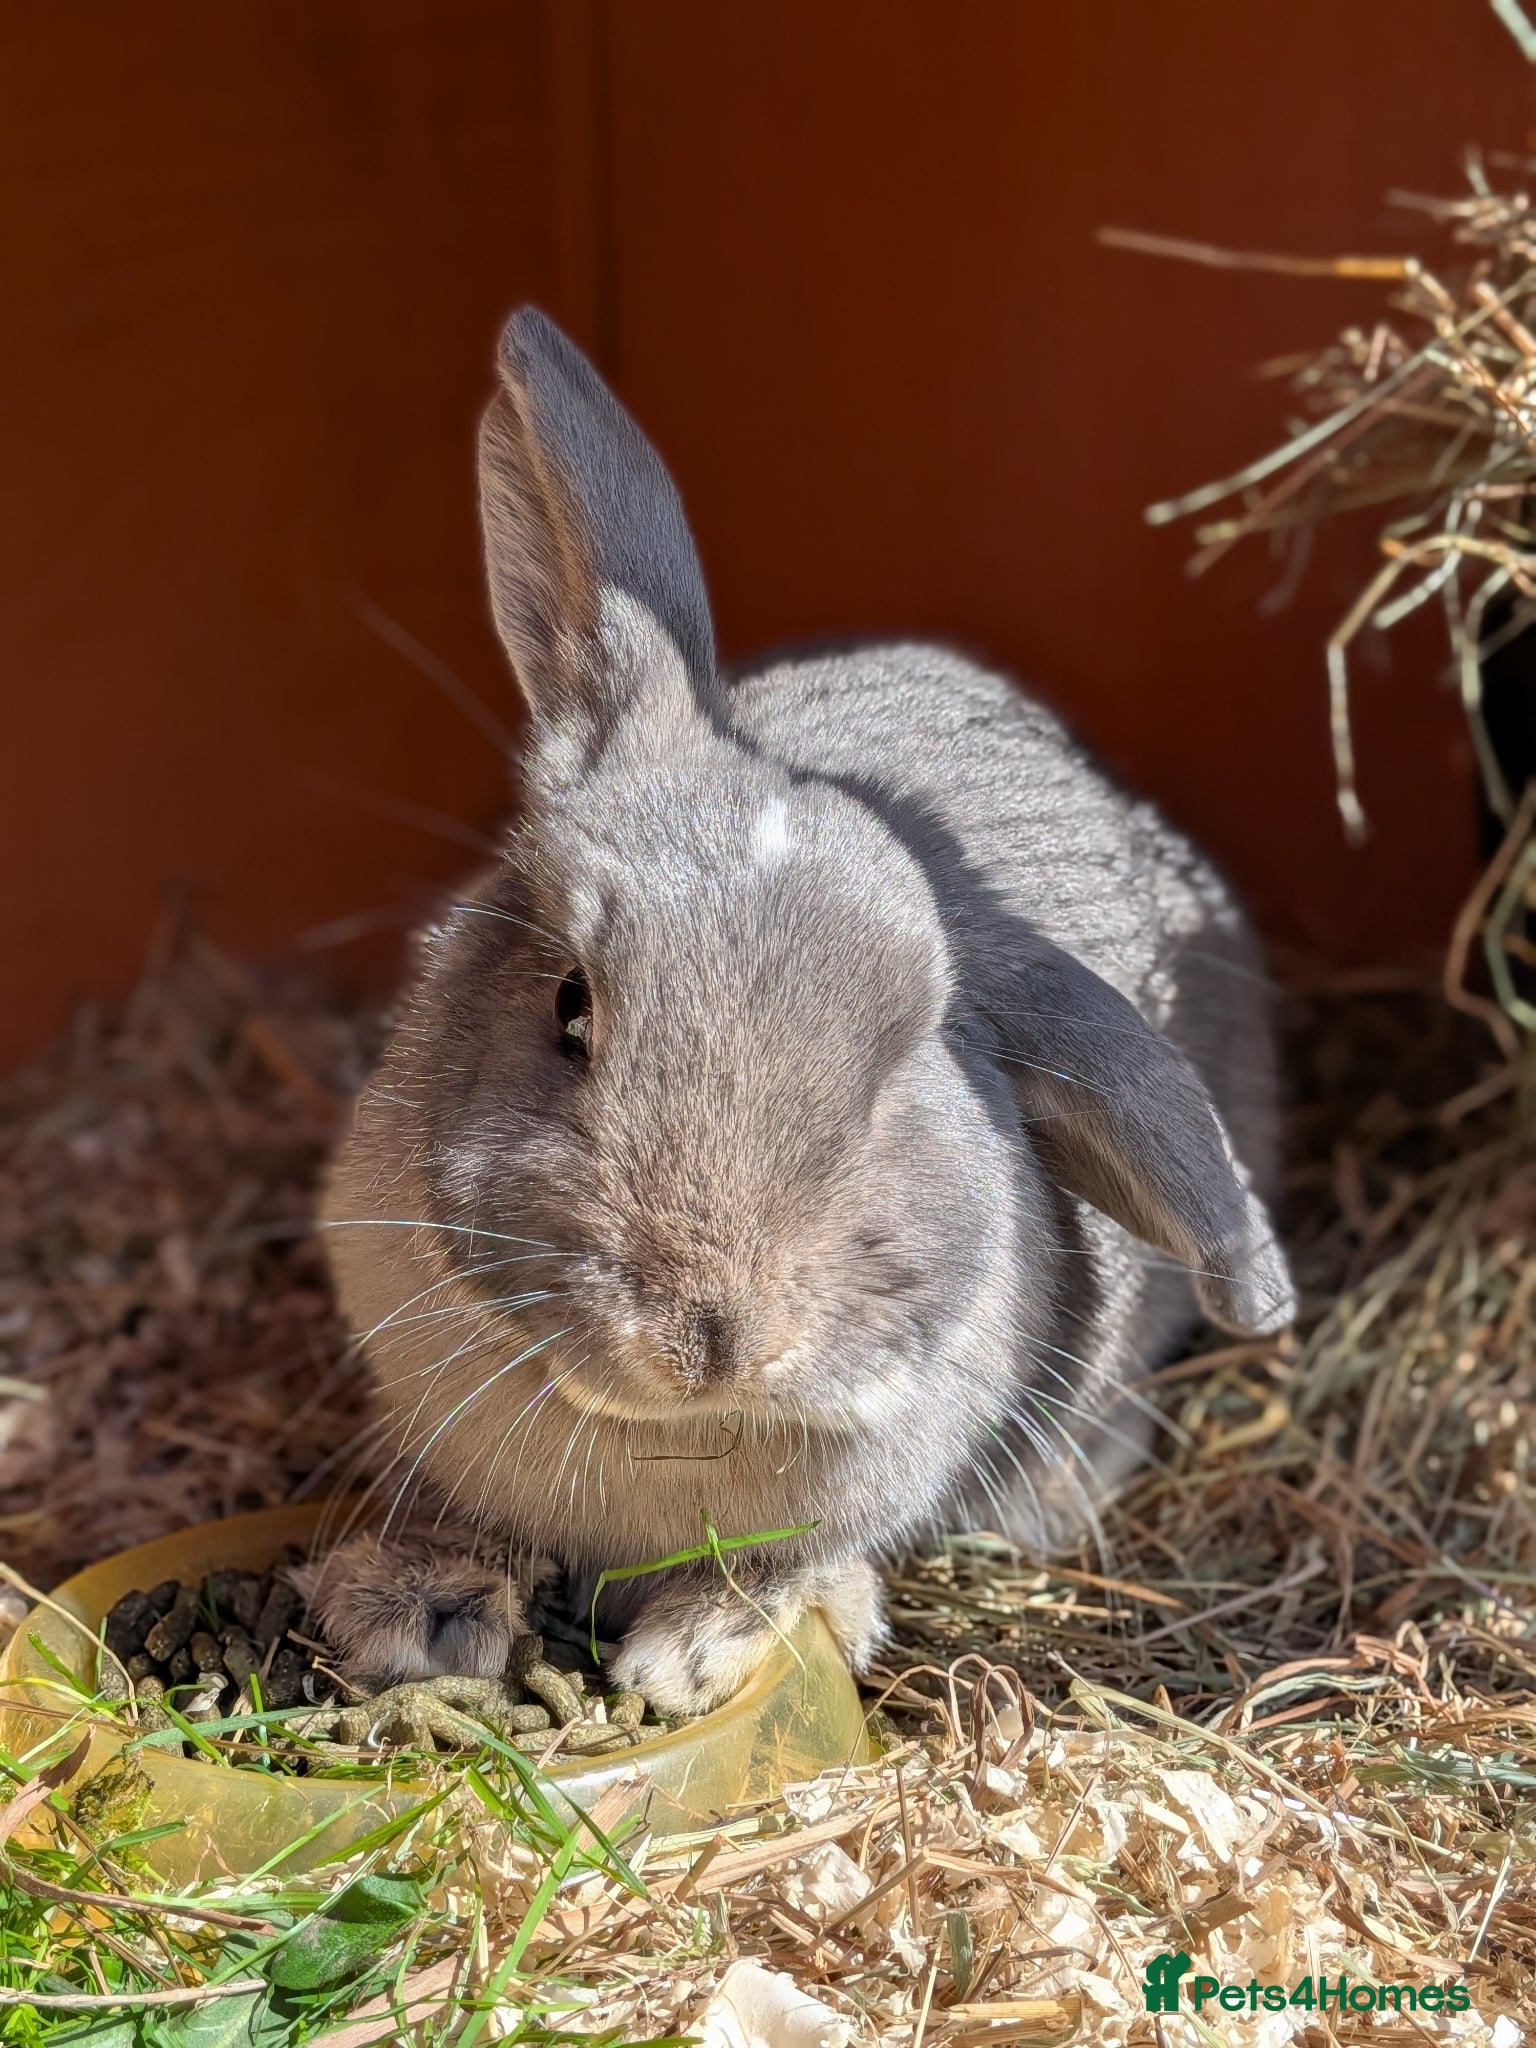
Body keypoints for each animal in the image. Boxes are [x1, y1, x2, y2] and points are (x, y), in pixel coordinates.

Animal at [316, 306, 1294, 1716]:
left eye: (905, 1059)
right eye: (570, 1006)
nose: (712, 1335)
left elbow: (803, 1561)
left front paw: (697, 1651)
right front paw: (409, 1605)